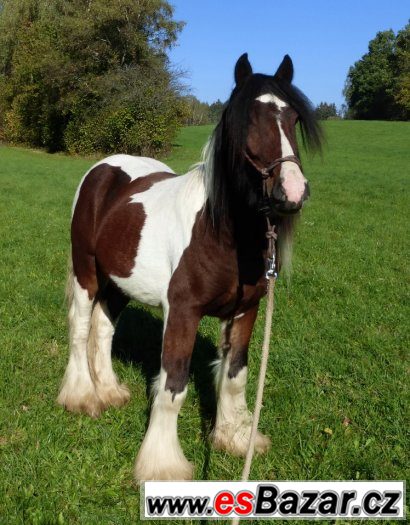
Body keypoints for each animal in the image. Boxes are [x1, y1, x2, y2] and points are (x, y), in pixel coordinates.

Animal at [57, 52, 322, 478]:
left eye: (294, 118)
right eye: (246, 119)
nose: (292, 192)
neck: (221, 233)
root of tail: (104, 168)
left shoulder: (246, 309)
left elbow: (235, 376)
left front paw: (234, 439)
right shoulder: (182, 312)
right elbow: (173, 385)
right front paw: (162, 465)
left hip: (119, 282)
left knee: (103, 329)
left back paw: (110, 391)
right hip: (87, 272)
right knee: (81, 328)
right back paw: (83, 396)